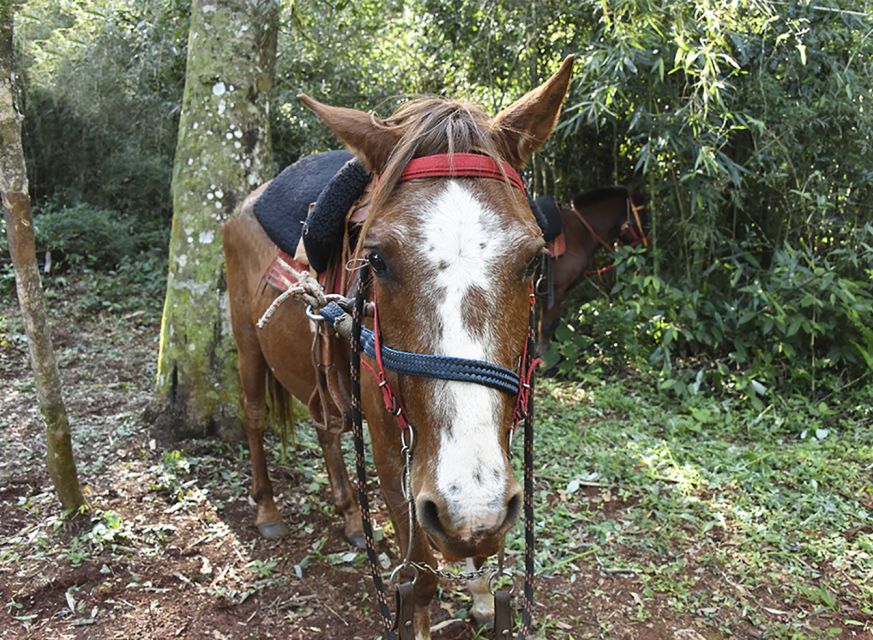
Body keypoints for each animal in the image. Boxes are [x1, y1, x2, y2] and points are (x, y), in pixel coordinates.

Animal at [221, 57, 572, 636]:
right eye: (377, 259)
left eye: (533, 259)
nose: (468, 508)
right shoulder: (392, 457)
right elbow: (422, 581)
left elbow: (480, 544)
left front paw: (481, 593)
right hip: (247, 344)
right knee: (252, 416)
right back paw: (268, 510)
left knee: (326, 427)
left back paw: (349, 517)